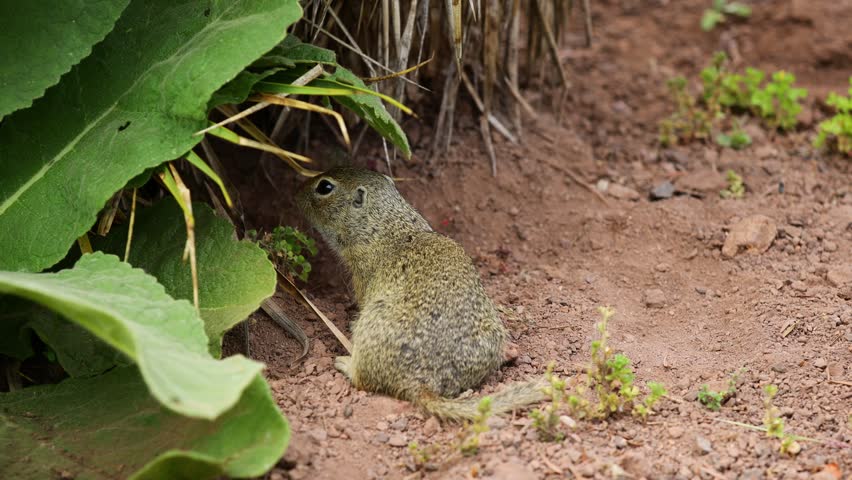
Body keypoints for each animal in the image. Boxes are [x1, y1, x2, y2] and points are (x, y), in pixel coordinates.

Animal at [295, 166, 546, 421]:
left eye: (325, 187)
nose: (297, 191)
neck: (385, 223)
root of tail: (423, 384)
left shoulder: (361, 276)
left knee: (364, 381)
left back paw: (344, 363)